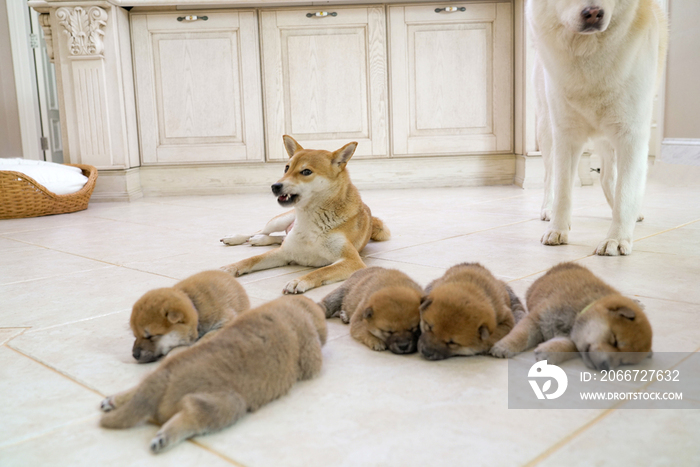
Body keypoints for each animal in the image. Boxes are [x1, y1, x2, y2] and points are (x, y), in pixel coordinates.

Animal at [100, 296, 328, 454]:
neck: (294, 307)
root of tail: (161, 380)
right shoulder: (311, 352)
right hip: (228, 403)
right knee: (193, 413)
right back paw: (163, 438)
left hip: (156, 374)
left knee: (135, 388)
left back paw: (112, 400)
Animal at [221, 135, 392, 294]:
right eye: (286, 168)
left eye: (306, 171)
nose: (275, 186)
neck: (311, 217)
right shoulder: (284, 252)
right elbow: (251, 260)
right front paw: (230, 267)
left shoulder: (352, 261)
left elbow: (321, 271)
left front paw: (299, 281)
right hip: (280, 221)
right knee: (262, 231)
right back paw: (239, 238)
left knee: (277, 237)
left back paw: (260, 240)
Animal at [492, 262, 652, 372]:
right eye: (615, 341)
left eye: (623, 362)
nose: (605, 367)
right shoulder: (537, 319)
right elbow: (521, 335)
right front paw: (504, 346)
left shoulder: (574, 339)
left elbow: (567, 346)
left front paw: (548, 352)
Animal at [532, 0, 672, 256]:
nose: (594, 13)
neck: (589, 52)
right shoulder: (566, 135)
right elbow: (563, 189)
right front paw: (557, 229)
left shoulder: (631, 136)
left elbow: (625, 191)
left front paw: (616, 238)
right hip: (546, 130)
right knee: (549, 176)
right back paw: (547, 209)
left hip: (609, 137)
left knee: (608, 177)